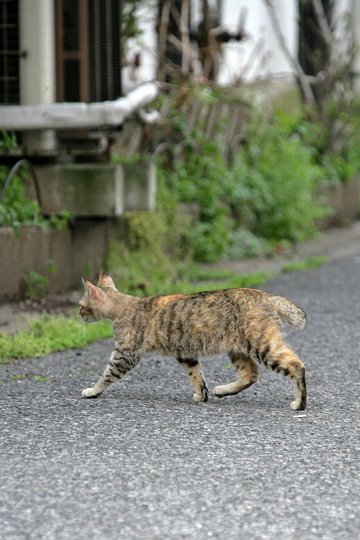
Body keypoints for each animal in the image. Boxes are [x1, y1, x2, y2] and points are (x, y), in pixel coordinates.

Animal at [79, 272, 306, 412]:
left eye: (81, 305)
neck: (123, 306)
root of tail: (265, 295)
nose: (79, 314)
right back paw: (222, 390)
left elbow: (107, 375)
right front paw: (201, 395)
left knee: (297, 366)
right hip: (238, 350)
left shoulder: (125, 355)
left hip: (263, 346)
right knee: (249, 375)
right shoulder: (186, 354)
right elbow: (197, 376)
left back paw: (300, 403)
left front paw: (92, 390)